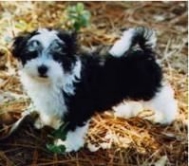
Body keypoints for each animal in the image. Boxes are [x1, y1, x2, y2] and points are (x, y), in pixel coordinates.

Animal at [11, 26, 177, 152]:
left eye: (57, 56)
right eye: (33, 54)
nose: (42, 68)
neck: (55, 78)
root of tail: (145, 52)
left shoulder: (77, 108)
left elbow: (72, 130)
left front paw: (67, 146)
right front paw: (49, 122)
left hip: (147, 88)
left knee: (164, 99)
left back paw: (166, 117)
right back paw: (126, 111)